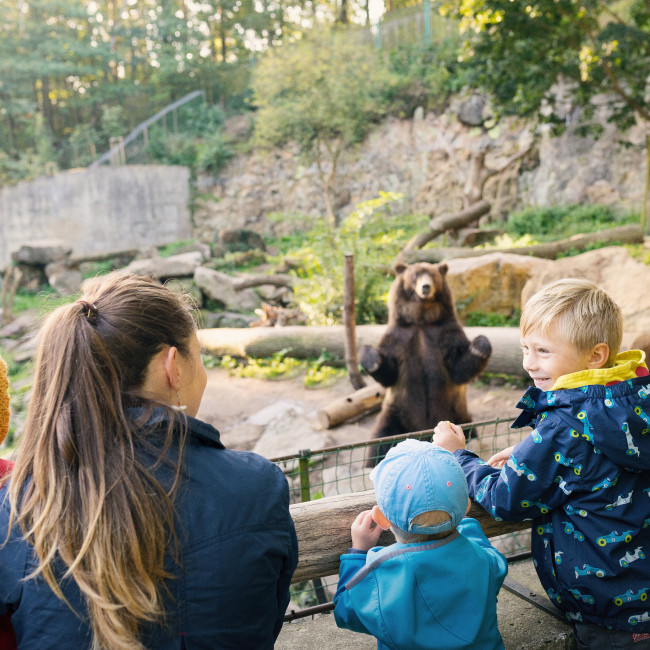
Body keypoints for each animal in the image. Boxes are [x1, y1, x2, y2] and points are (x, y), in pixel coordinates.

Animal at [360, 260, 492, 464]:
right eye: (415, 275)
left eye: (432, 275)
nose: (425, 287)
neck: (422, 320)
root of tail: (423, 434)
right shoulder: (400, 337)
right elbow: (389, 372)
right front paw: (371, 358)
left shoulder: (445, 335)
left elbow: (459, 367)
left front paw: (480, 346)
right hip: (396, 413)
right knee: (380, 439)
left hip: (458, 413)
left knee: (472, 431)